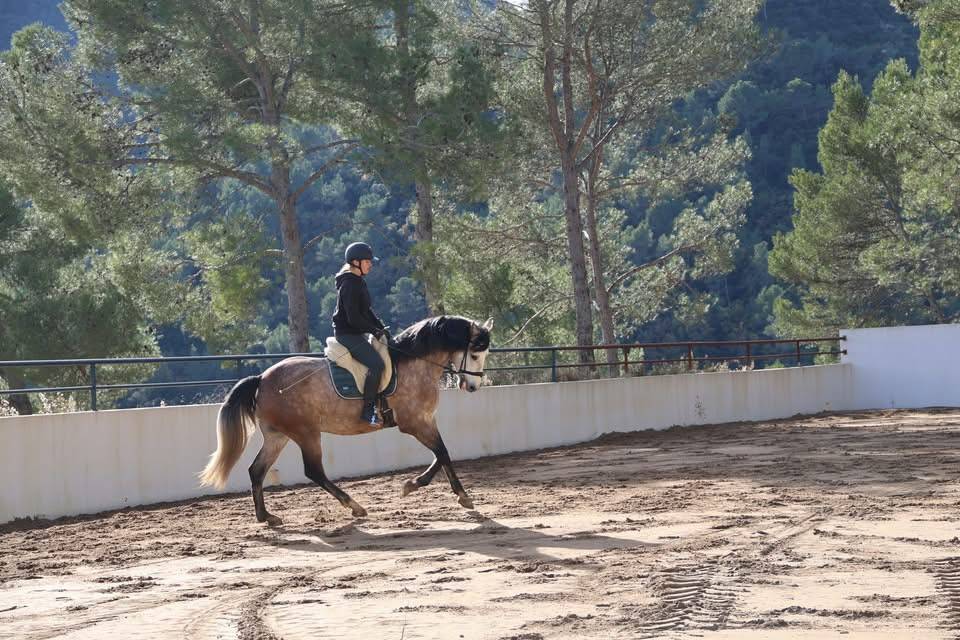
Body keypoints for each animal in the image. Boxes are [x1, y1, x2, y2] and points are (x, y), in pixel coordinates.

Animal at [198, 315, 494, 526]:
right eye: (474, 354)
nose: (473, 387)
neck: (413, 363)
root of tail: (261, 379)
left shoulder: (425, 421)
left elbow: (441, 454)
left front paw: (419, 487)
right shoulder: (415, 423)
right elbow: (442, 453)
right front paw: (454, 495)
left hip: (277, 436)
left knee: (257, 471)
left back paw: (267, 517)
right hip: (305, 433)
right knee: (313, 471)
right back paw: (355, 507)